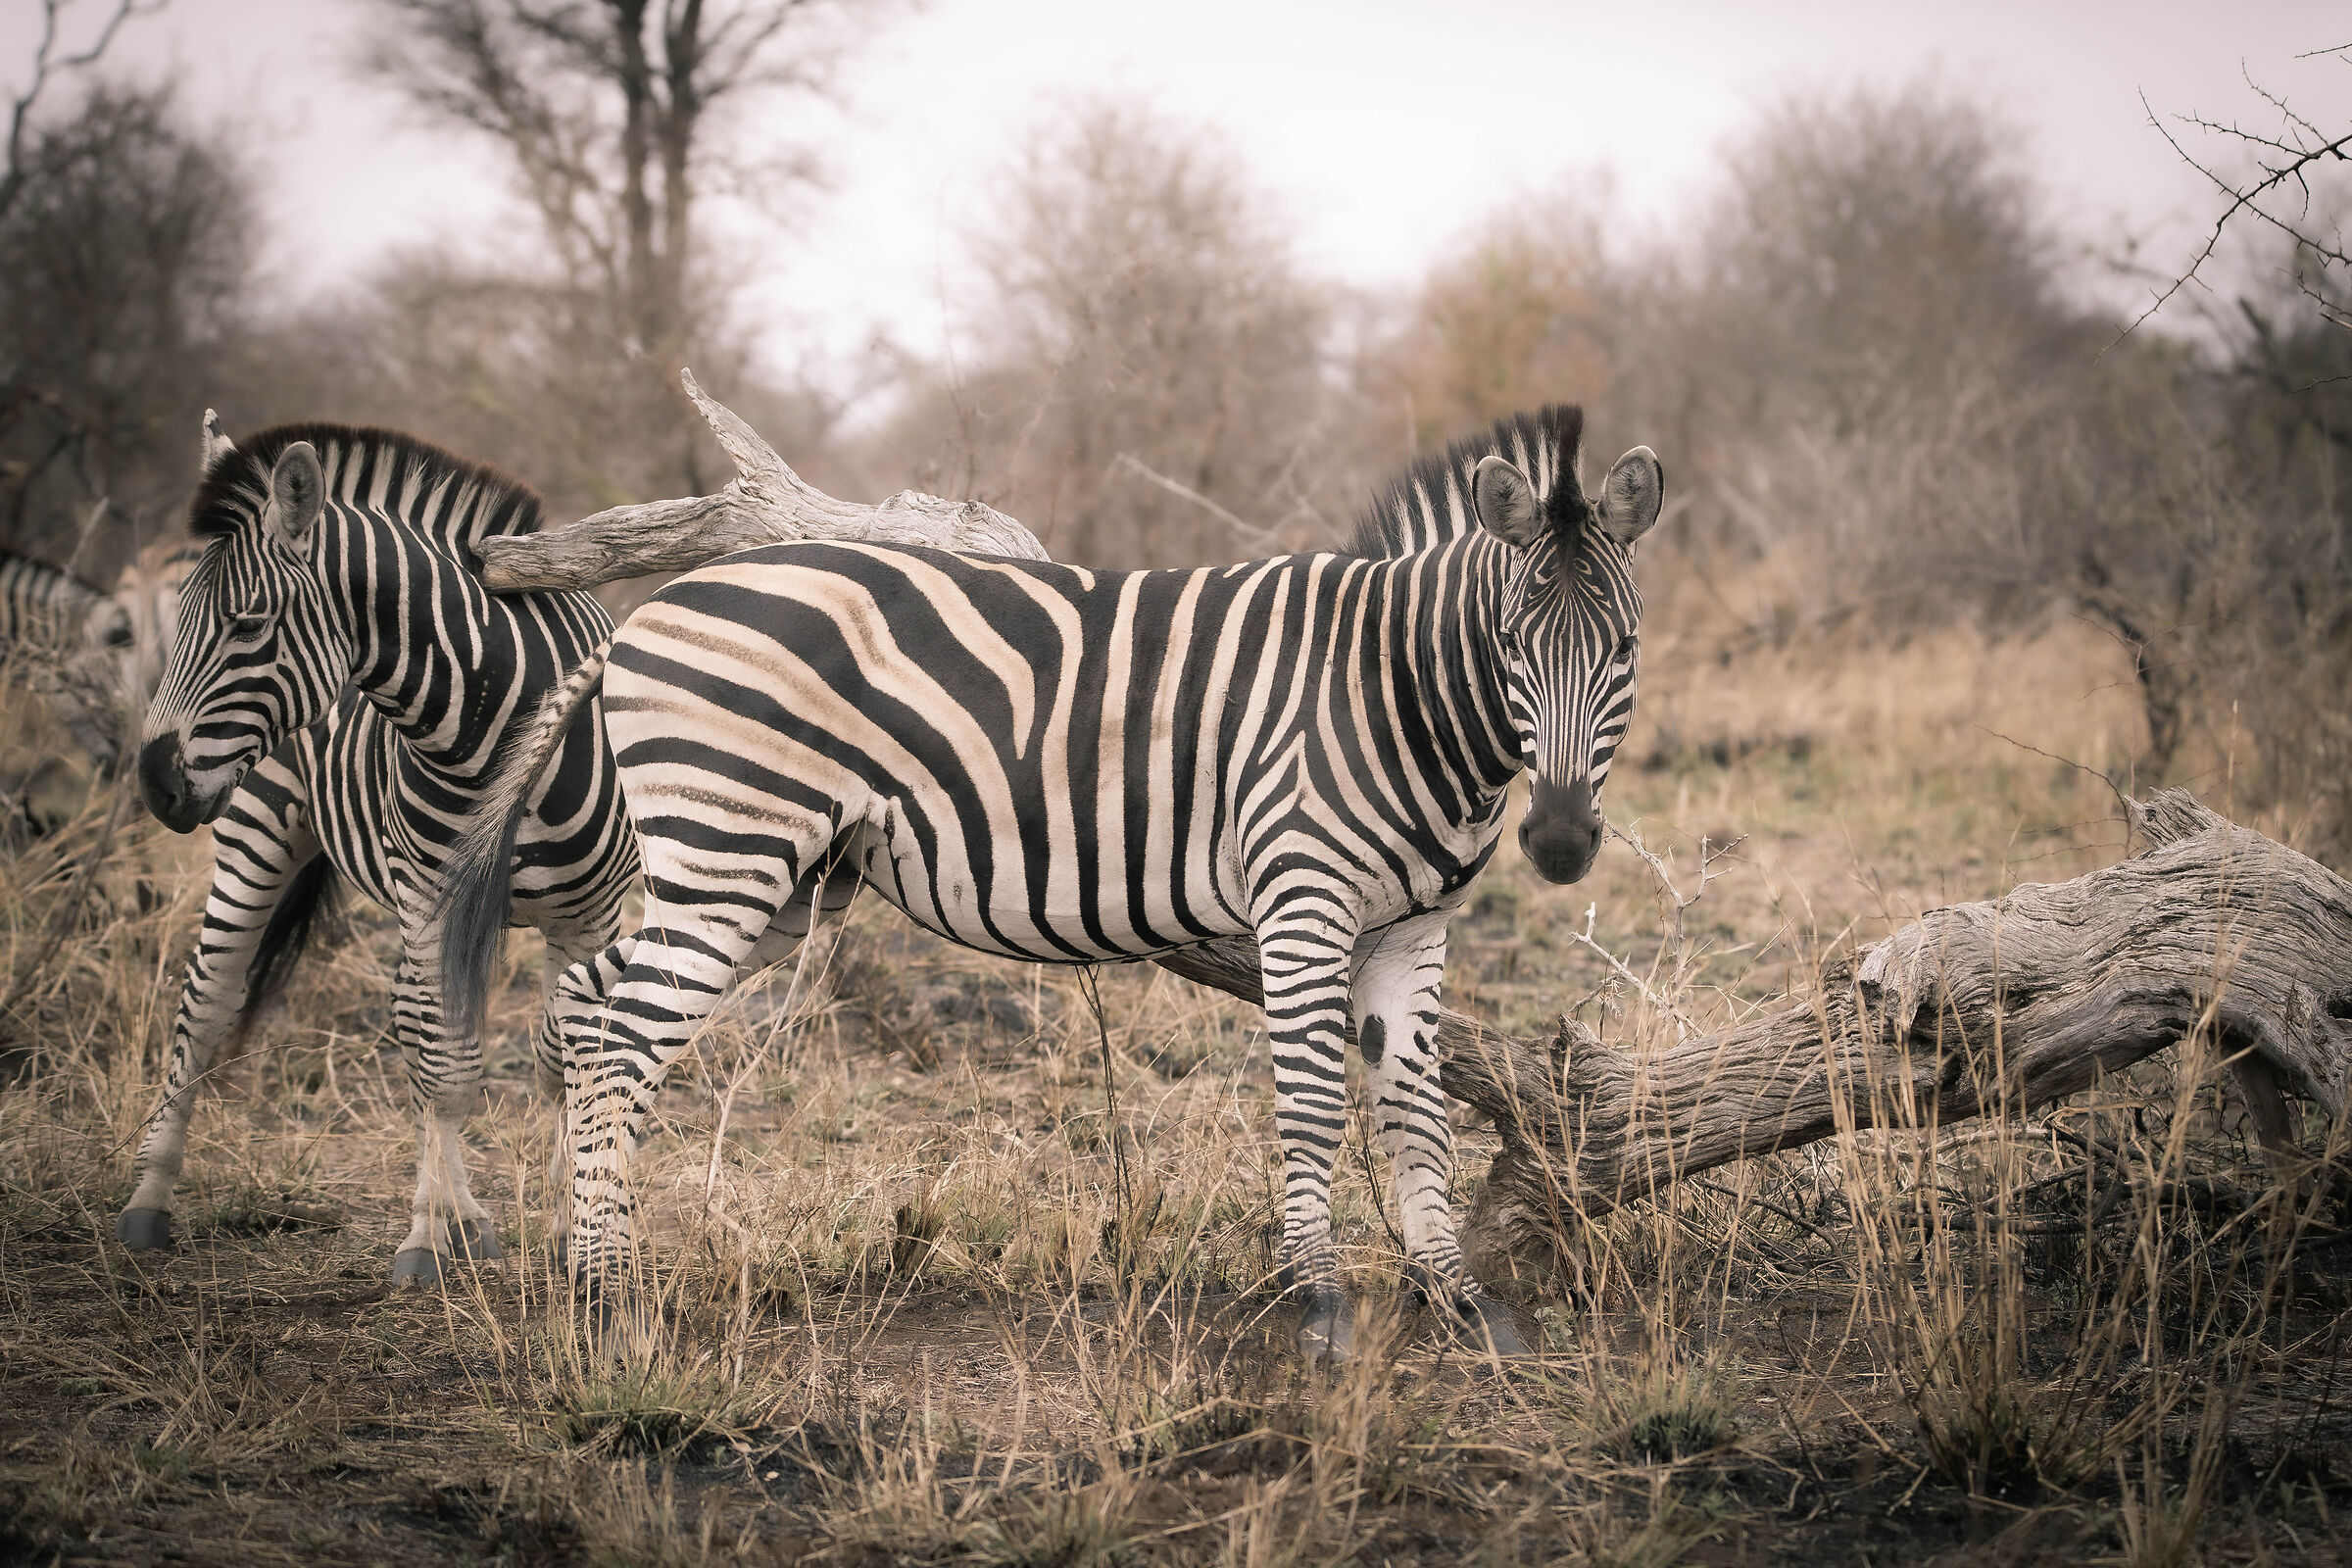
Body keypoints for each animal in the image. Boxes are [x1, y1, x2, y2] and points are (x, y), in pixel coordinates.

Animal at [121, 421, 638, 1283]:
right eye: (180, 620)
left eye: (248, 624)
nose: (155, 782)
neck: (492, 730)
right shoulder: (431, 898)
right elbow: (450, 1068)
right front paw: (424, 1241)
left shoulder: (588, 913)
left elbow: (567, 1056)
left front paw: (574, 1234)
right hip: (258, 829)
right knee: (209, 1006)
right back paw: (147, 1201)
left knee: (415, 1021)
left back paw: (470, 1217)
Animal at [441, 405, 1663, 1360]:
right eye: (1513, 642)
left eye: (1625, 649)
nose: (1560, 843)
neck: (1389, 686)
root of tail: (652, 607)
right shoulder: (1303, 899)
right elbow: (1315, 1099)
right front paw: (1317, 1302)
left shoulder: (1416, 924)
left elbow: (1416, 1107)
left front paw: (1452, 1295)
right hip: (729, 846)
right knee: (620, 1043)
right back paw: (612, 1304)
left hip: (774, 879)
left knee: (588, 1005)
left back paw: (582, 1263)